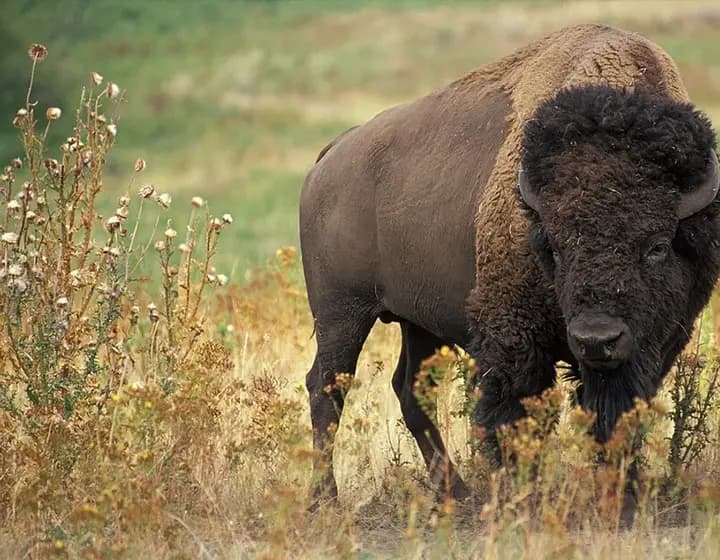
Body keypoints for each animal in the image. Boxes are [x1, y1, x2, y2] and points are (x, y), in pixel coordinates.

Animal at [299, 24, 720, 504]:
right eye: (553, 246)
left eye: (657, 246)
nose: (596, 339)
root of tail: (332, 154)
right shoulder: (515, 339)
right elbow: (514, 415)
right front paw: (521, 494)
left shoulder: (653, 346)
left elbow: (616, 416)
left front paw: (619, 494)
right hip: (341, 314)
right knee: (327, 387)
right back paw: (325, 498)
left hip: (417, 323)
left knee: (409, 390)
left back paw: (456, 494)